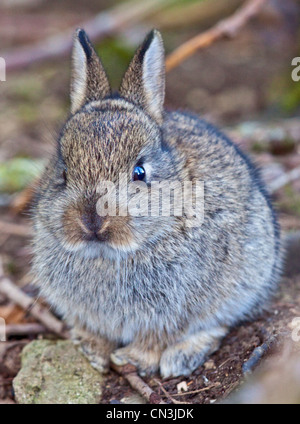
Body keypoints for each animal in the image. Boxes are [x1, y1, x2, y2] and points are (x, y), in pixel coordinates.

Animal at [31, 29, 282, 378]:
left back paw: (181, 357)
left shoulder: (175, 308)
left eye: (140, 172)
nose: (93, 220)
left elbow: (157, 337)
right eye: (64, 173)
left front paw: (134, 359)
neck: (107, 253)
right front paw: (91, 350)